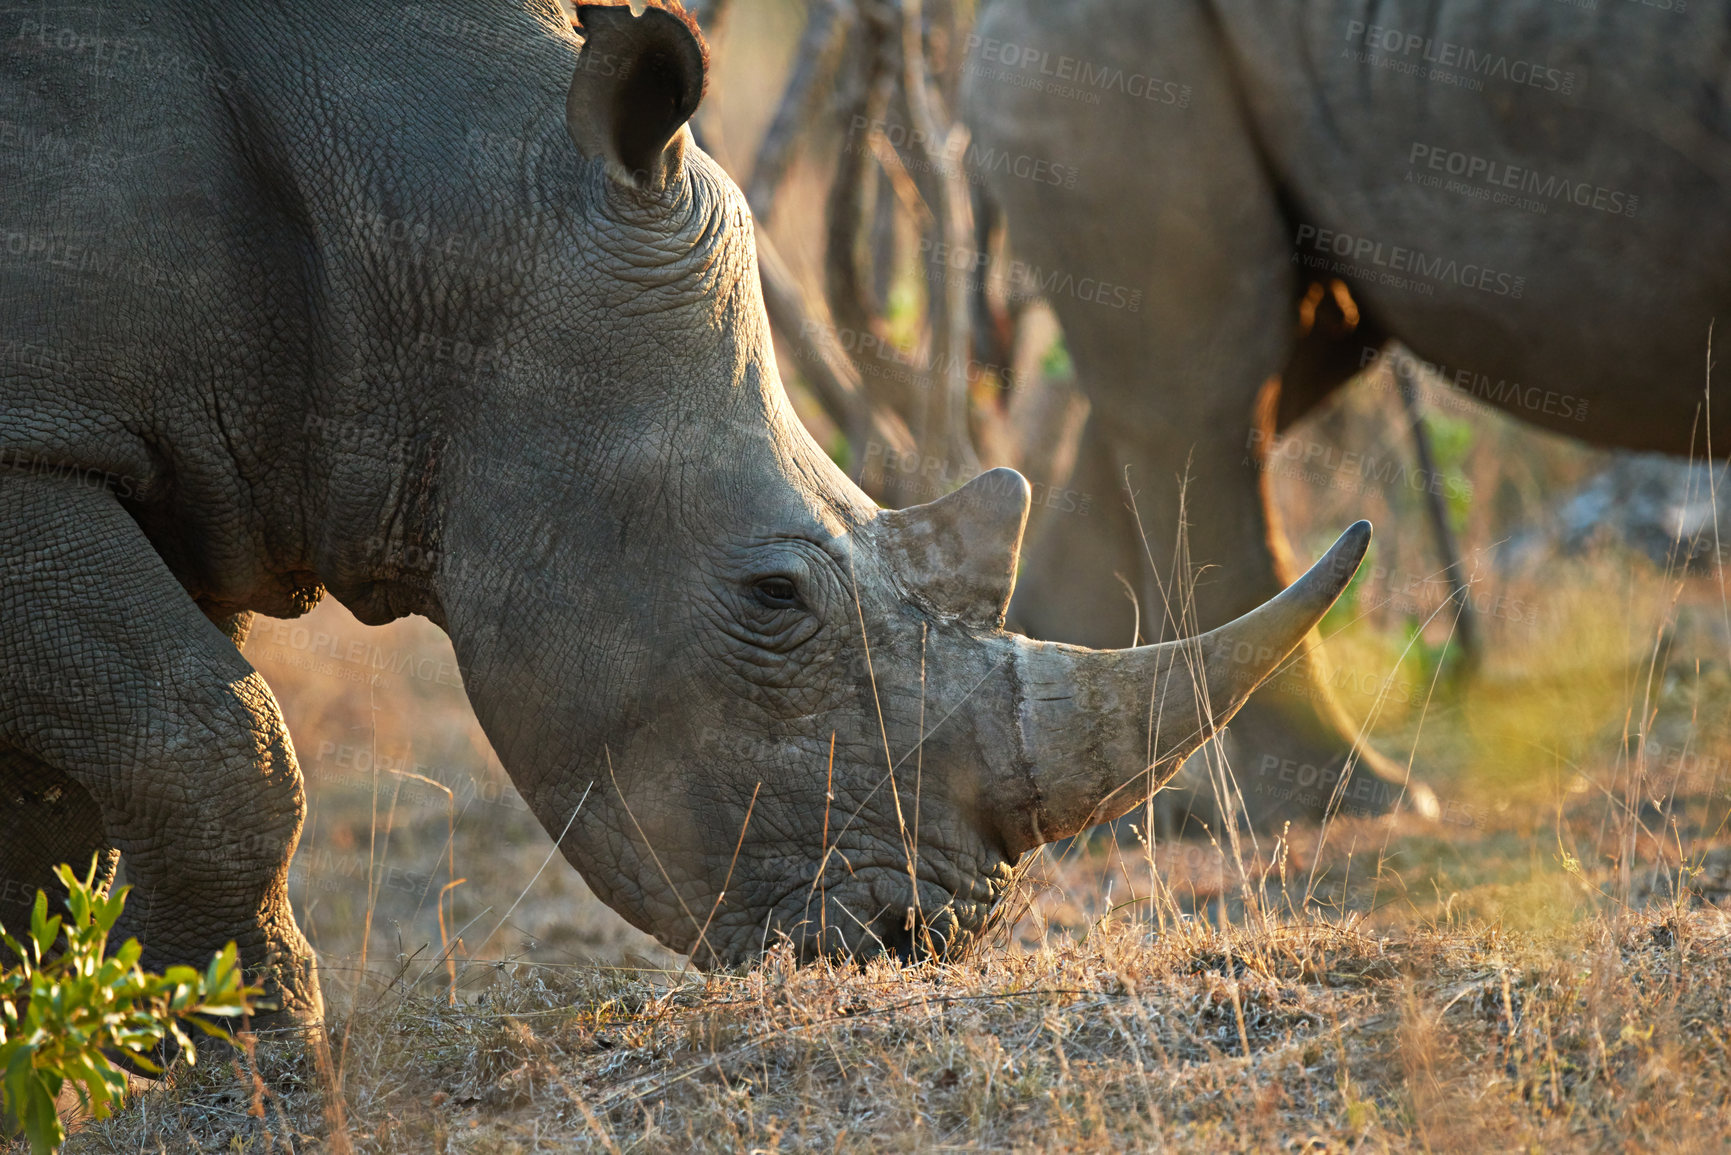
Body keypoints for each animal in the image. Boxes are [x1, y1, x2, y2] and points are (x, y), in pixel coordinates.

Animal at [3, 0, 1377, 1032]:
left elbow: (74, 802)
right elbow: (213, 740)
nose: (920, 936)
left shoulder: (197, 460)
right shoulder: (37, 442)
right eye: (775, 598)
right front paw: (248, 1063)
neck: (430, 203)